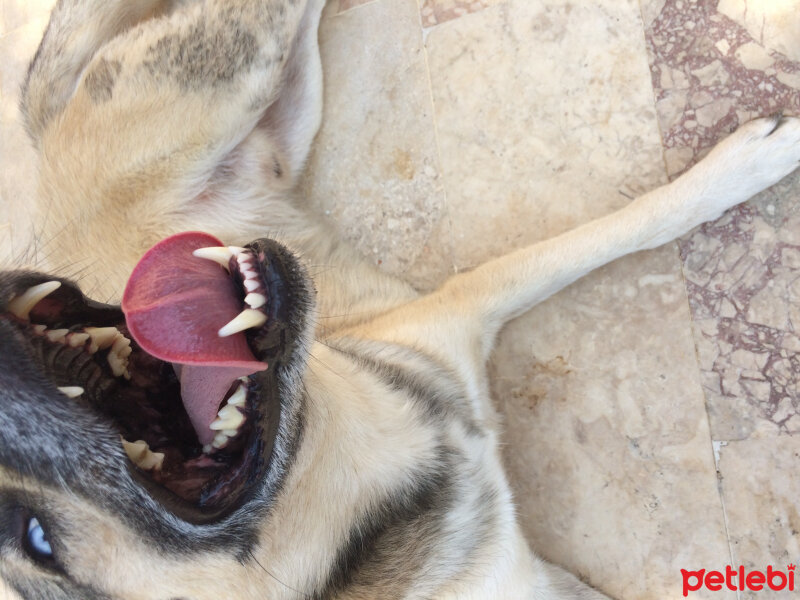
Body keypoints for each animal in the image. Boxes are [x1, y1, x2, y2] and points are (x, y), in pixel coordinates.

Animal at [1, 0, 800, 596]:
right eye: (33, 539)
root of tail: (41, 132)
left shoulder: (465, 307)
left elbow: (630, 224)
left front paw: (750, 162)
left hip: (260, 75)